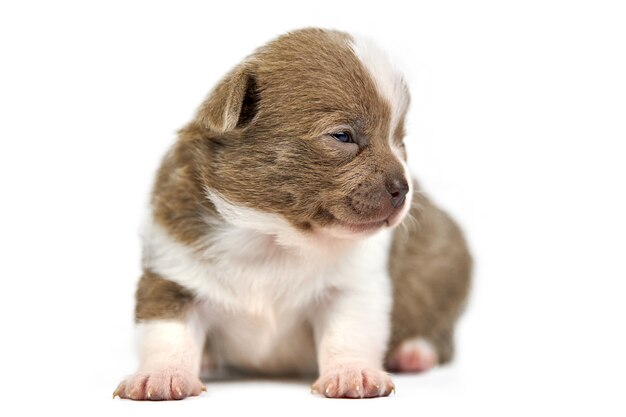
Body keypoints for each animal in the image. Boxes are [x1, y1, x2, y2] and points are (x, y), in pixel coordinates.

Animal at [114, 28, 470, 400]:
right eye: (342, 136)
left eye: (400, 141)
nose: (404, 188)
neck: (272, 236)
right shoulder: (171, 273)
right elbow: (166, 333)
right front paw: (160, 375)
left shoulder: (354, 287)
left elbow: (350, 331)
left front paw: (352, 373)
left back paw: (414, 352)